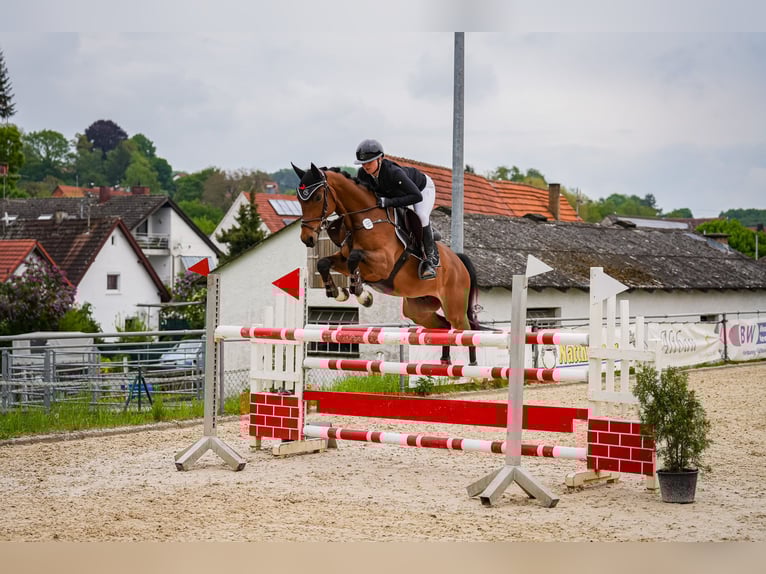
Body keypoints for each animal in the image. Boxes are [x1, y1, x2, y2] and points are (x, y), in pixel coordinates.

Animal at [291, 162, 482, 365]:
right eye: (300, 199)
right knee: (444, 327)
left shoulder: (383, 265)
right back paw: (445, 360)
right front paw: (337, 292)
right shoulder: (343, 260)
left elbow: (355, 258)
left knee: (467, 329)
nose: (307, 239)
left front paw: (361, 294)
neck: (366, 221)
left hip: (454, 307)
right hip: (418, 309)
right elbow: (324, 263)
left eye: (318, 197)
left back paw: (473, 366)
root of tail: (459, 262)